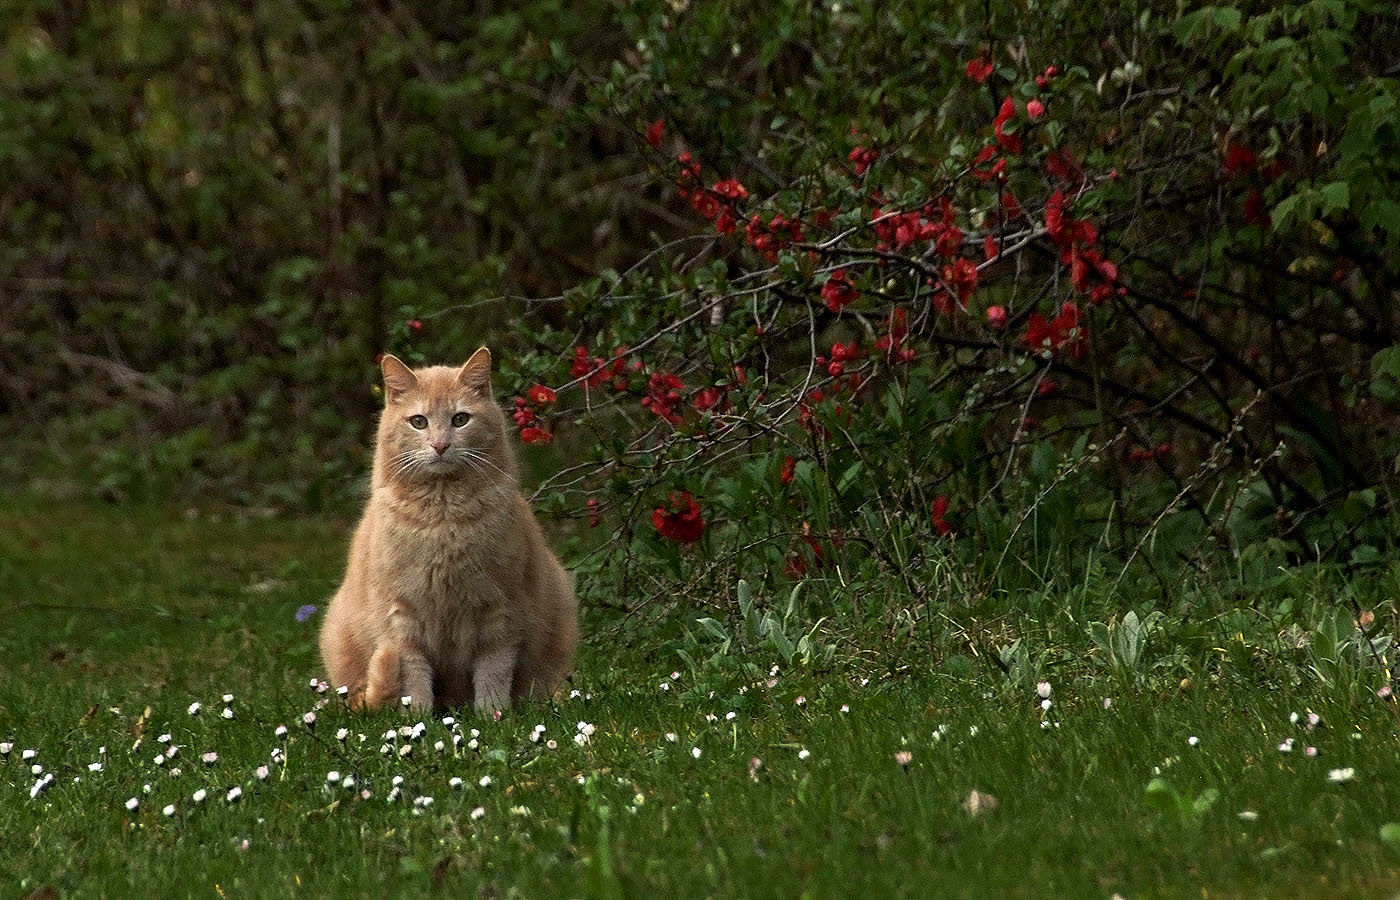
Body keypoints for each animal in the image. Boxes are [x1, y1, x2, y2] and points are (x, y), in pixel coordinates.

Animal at [320, 348, 576, 713]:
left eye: (460, 419)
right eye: (419, 422)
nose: (440, 445)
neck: (443, 520)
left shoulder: (501, 617)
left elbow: (493, 676)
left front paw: (492, 716)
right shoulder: (402, 623)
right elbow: (414, 681)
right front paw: (419, 718)